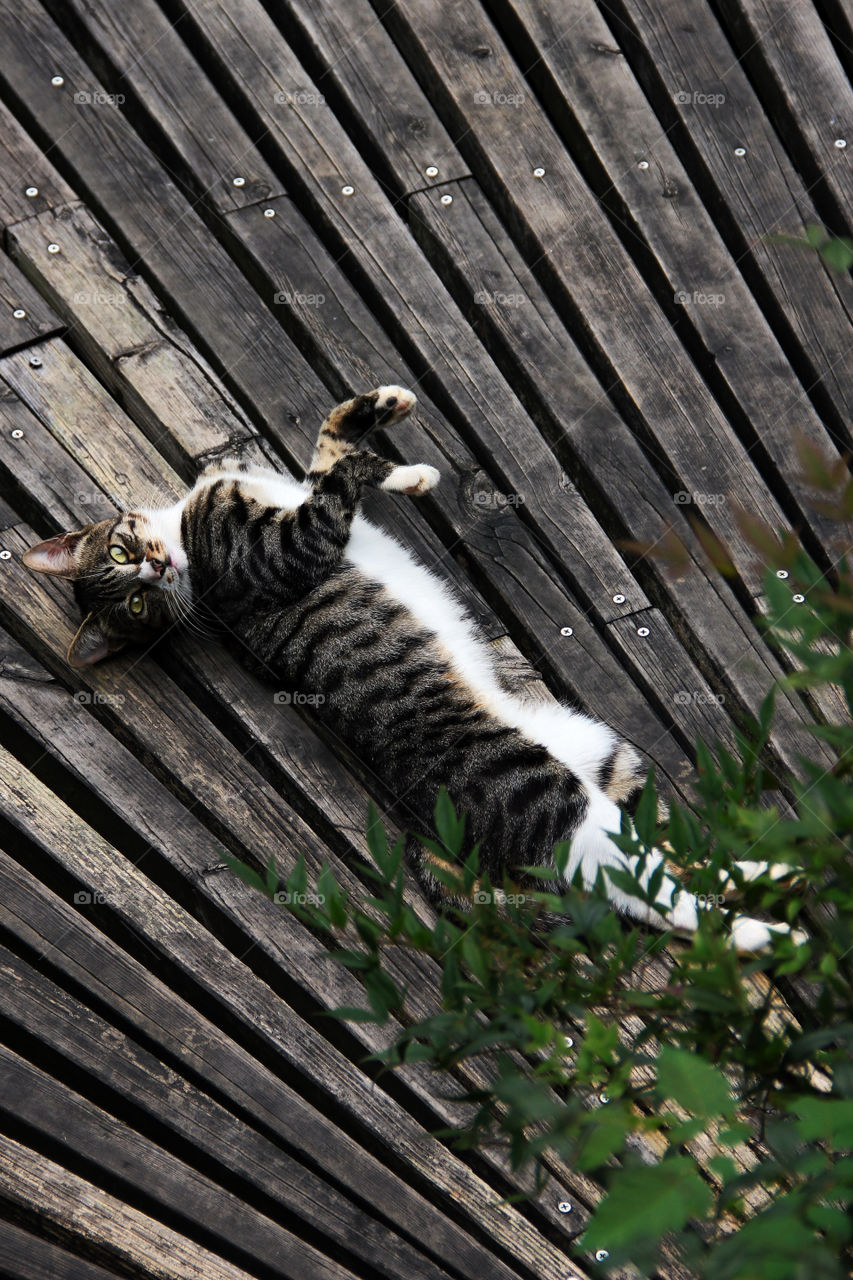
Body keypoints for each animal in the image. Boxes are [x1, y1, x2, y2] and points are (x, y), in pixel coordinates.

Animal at [26, 384, 799, 957]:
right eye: (134, 599)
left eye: (124, 564)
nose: (155, 572)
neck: (187, 533)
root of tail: (439, 838)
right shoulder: (294, 545)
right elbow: (333, 475)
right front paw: (389, 448)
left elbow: (328, 454)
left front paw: (389, 431)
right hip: (552, 799)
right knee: (648, 893)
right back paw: (764, 932)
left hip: (611, 755)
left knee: (668, 852)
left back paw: (775, 867)